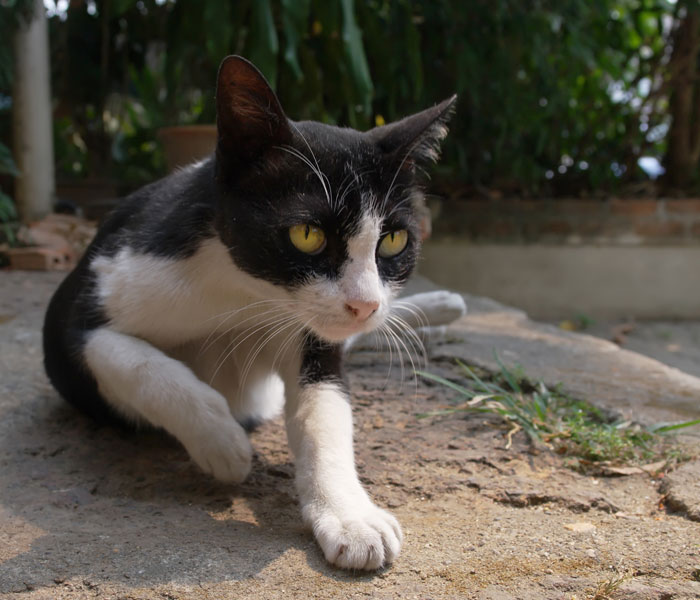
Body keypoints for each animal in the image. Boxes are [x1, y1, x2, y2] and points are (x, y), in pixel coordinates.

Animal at [42, 57, 460, 572]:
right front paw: (222, 443)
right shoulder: (79, 312)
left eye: (394, 241)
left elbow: (326, 415)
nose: (364, 305)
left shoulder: (314, 339)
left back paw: (441, 308)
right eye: (307, 235)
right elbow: (137, 362)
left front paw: (350, 516)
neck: (243, 294)